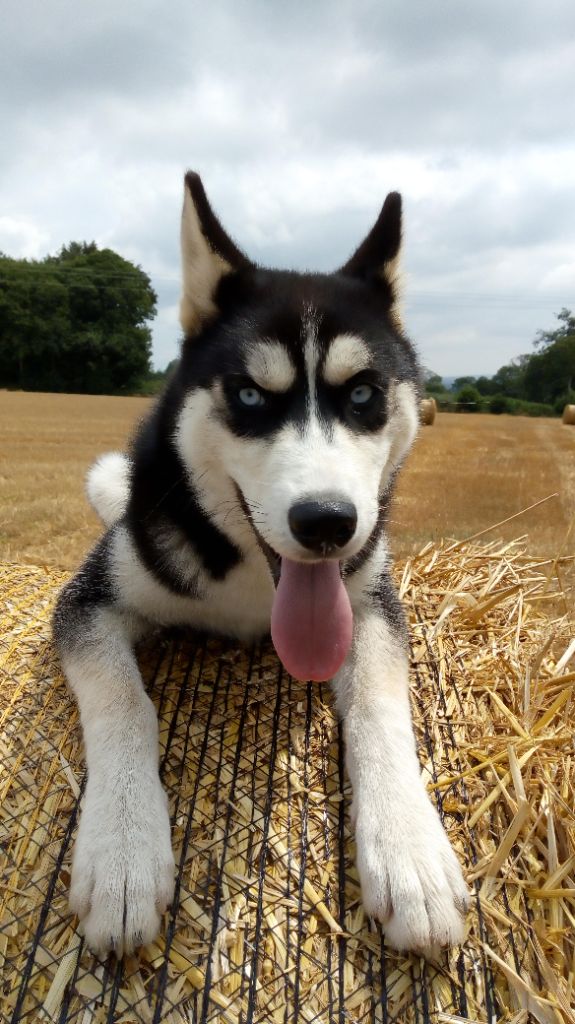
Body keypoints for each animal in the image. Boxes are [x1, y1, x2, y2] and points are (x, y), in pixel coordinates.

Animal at [52, 169, 466, 958]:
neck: (250, 585)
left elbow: (379, 702)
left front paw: (410, 853)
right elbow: (123, 699)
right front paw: (123, 853)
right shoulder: (87, 599)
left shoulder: (372, 602)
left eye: (362, 393)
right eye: (248, 394)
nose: (327, 522)